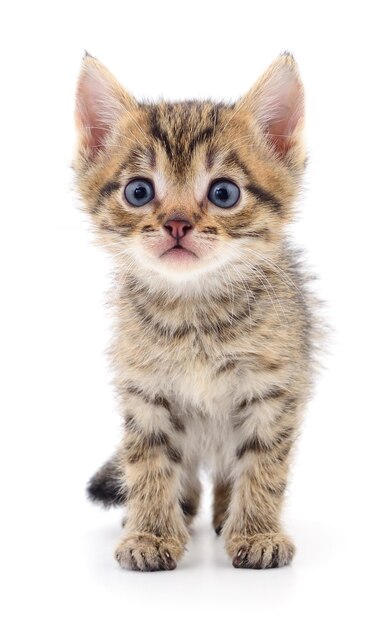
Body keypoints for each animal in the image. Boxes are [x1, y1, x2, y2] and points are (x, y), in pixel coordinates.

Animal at [74, 52, 316, 572]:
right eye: (139, 192)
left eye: (224, 193)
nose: (177, 224)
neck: (194, 311)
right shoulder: (144, 391)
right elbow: (148, 462)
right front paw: (150, 533)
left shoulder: (273, 390)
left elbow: (264, 463)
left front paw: (257, 531)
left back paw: (227, 515)